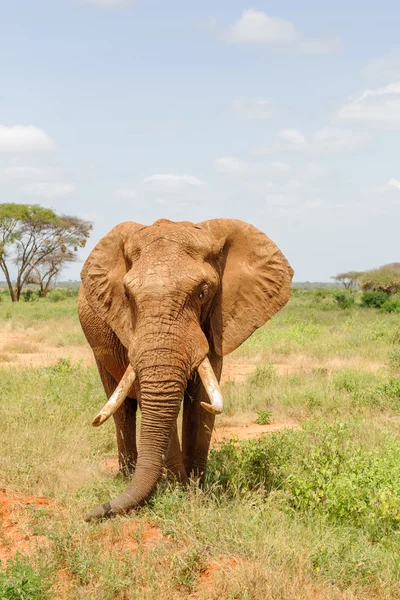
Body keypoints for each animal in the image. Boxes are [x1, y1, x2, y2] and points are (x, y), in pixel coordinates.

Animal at [78, 217, 292, 520]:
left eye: (203, 292)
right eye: (127, 295)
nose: (90, 514)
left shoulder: (216, 322)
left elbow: (202, 400)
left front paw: (195, 492)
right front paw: (178, 489)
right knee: (120, 407)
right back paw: (127, 475)